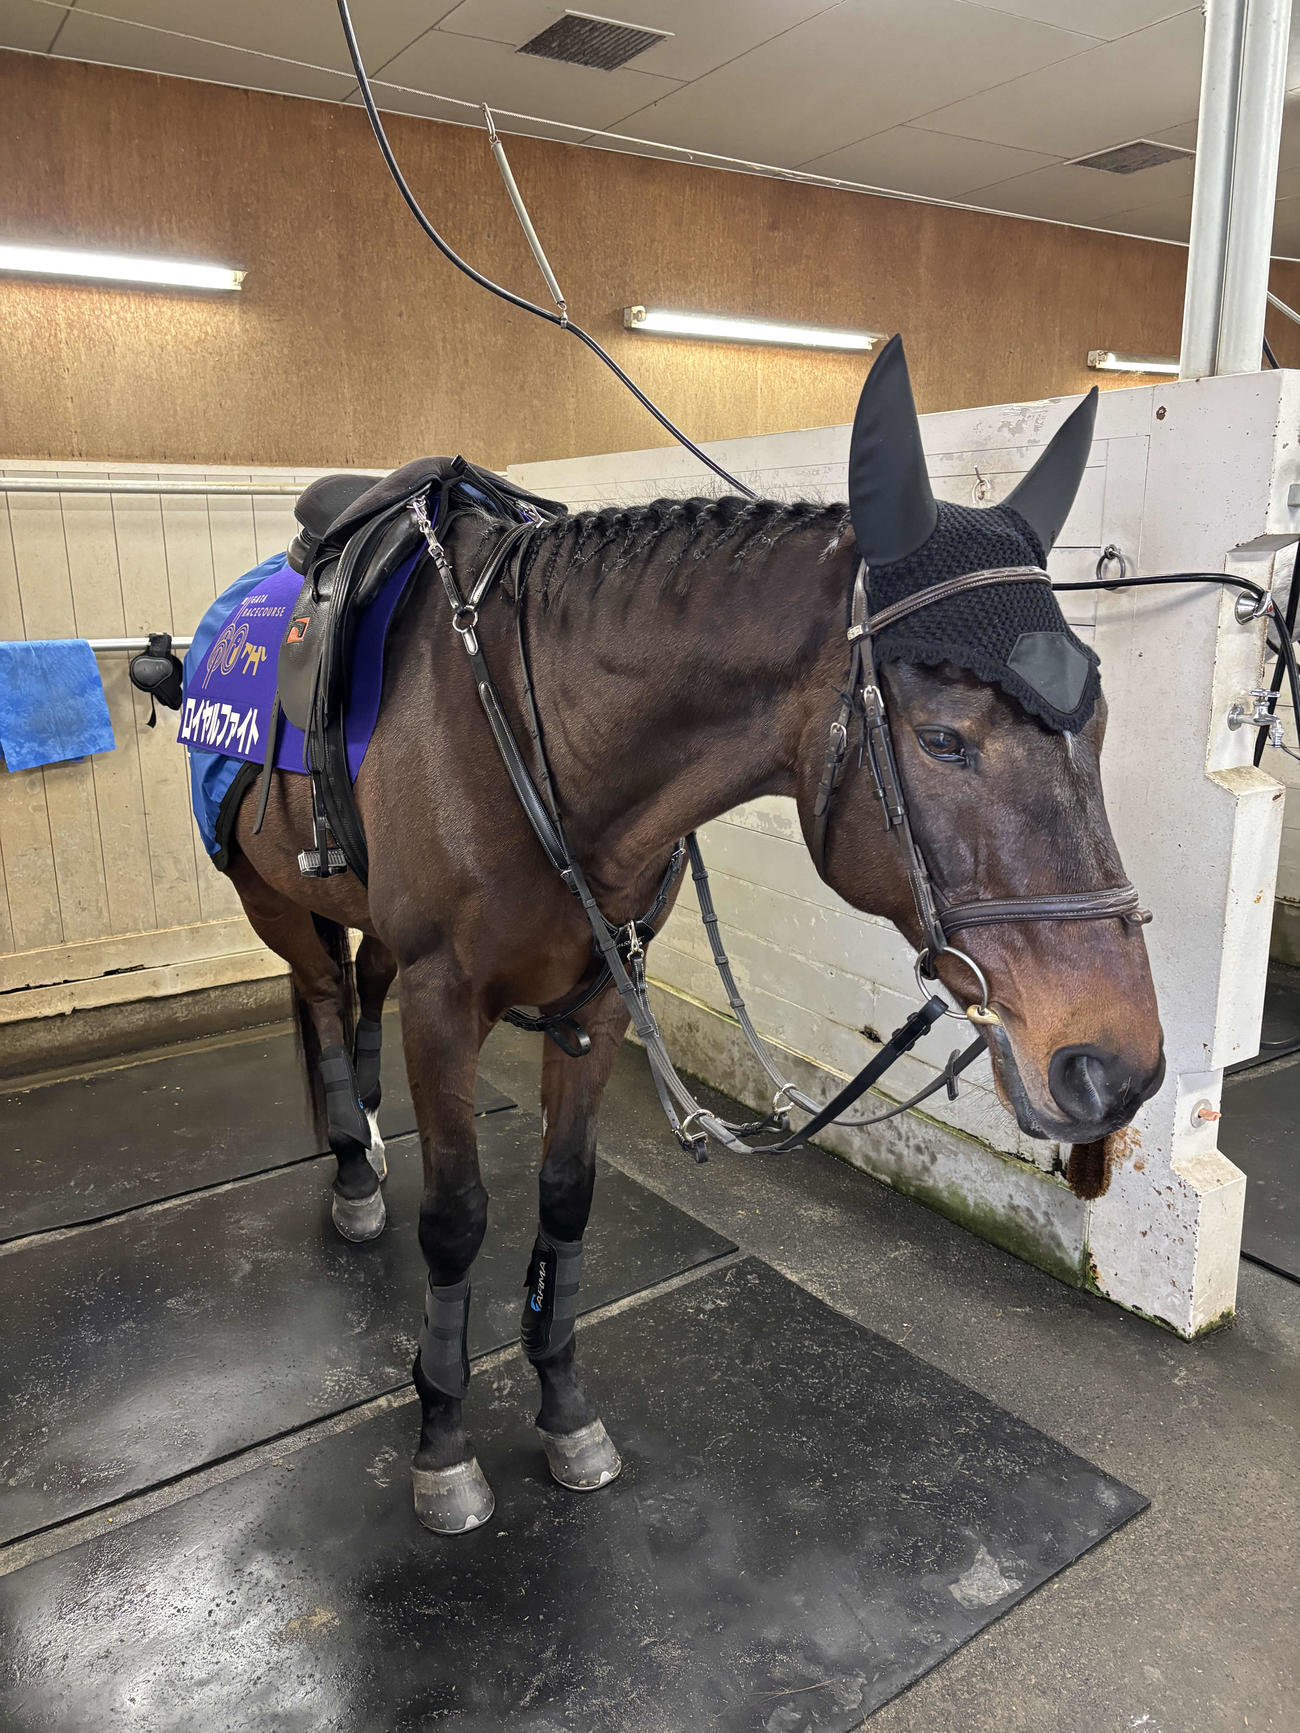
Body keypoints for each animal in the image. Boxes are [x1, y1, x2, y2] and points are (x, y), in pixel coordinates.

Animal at [215, 337, 1163, 1533]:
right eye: (946, 739)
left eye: (1100, 721)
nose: (1118, 1065)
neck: (531, 729)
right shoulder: (444, 1003)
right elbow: (458, 1216)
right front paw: (442, 1440)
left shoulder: (598, 998)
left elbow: (566, 1196)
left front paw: (564, 1411)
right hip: (273, 900)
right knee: (322, 997)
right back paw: (350, 1167)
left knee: (352, 992)